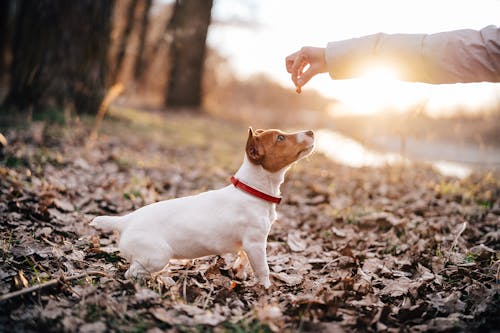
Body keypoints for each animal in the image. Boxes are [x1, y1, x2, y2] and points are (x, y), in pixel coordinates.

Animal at [91, 127, 312, 288]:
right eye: (280, 138)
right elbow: (262, 269)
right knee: (131, 273)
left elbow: (243, 258)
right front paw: (267, 289)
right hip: (156, 255)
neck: (251, 190)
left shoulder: (248, 244)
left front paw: (239, 273)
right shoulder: (256, 243)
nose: (311, 132)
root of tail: (125, 221)